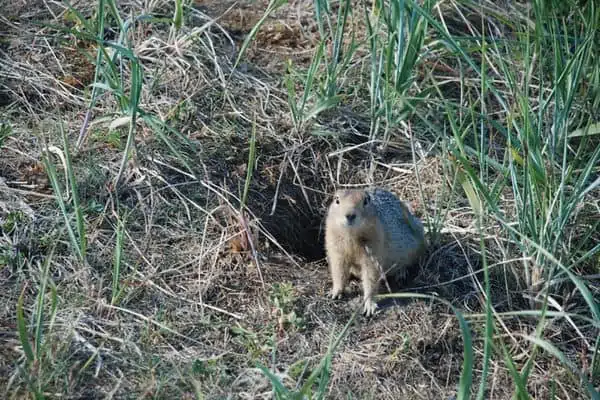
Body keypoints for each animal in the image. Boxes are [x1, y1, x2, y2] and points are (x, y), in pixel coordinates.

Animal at [324, 188, 426, 316]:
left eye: (366, 201)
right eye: (337, 200)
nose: (350, 215)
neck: (351, 234)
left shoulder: (374, 249)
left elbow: (371, 276)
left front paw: (369, 305)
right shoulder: (335, 248)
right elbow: (338, 271)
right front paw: (334, 293)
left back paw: (401, 272)